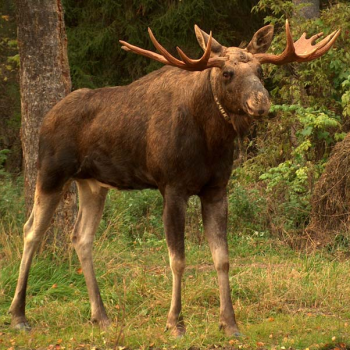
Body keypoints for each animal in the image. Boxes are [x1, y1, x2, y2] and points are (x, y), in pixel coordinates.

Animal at [10, 21, 340, 336]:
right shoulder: (172, 187)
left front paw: (230, 324)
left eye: (260, 70)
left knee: (80, 236)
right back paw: (19, 315)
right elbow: (178, 260)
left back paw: (101, 317)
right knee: (31, 230)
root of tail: (46, 119)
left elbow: (222, 258)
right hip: (51, 171)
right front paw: (175, 324)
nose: (260, 102)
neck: (210, 139)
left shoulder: (217, 189)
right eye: (228, 72)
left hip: (92, 183)